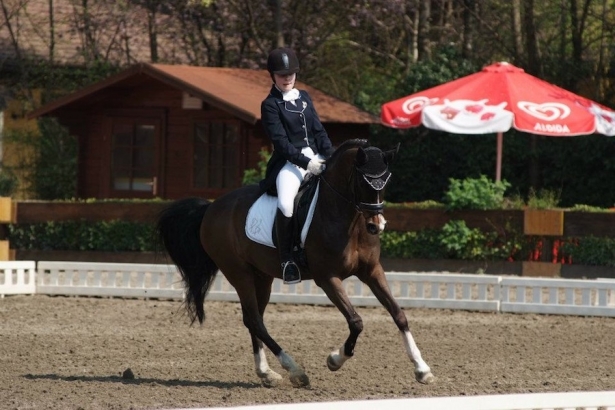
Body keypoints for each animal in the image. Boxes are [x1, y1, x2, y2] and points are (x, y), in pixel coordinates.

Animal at [156, 139, 436, 388]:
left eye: (386, 181)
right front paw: (335, 359)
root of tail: (212, 207)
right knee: (255, 320)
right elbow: (356, 321)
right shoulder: (327, 278)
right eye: (362, 182)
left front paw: (422, 369)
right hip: (239, 273)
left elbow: (399, 314)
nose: (376, 226)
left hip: (262, 276)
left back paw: (266, 373)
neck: (348, 219)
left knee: (252, 319)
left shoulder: (372, 271)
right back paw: (295, 371)